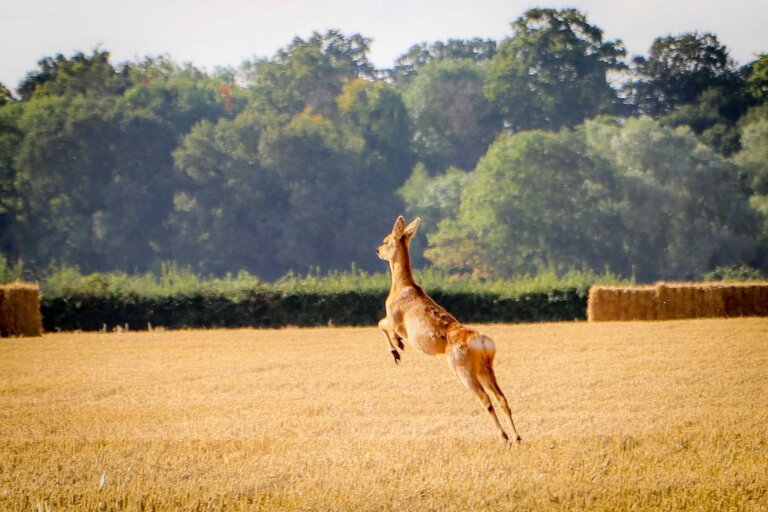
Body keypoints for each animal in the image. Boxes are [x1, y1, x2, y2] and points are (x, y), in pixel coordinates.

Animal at [378, 215, 520, 440]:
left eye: (386, 240)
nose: (377, 250)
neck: (400, 287)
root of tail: (482, 343)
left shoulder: (396, 320)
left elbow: (381, 324)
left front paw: (396, 350)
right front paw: (398, 346)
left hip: (461, 368)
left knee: (485, 399)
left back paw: (503, 437)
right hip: (485, 368)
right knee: (502, 397)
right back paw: (516, 437)